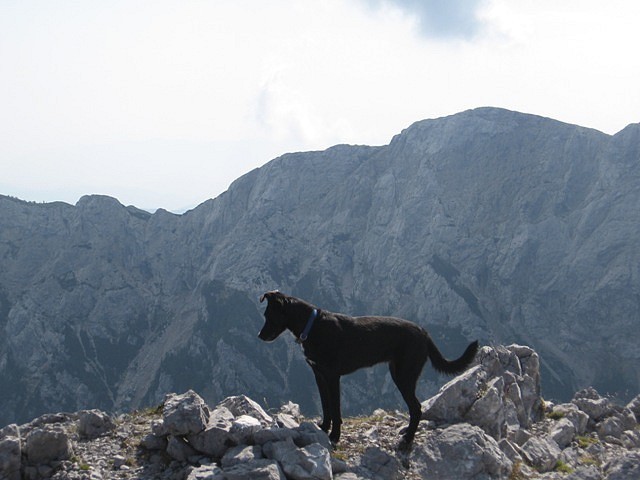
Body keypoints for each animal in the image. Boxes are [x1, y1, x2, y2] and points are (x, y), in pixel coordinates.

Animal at [258, 290, 478, 448]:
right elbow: (326, 406)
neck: (312, 326)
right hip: (398, 373)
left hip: (404, 376)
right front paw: (323, 428)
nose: (259, 336)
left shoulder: (332, 377)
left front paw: (334, 436)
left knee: (416, 408)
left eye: (268, 315)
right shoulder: (319, 375)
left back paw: (407, 440)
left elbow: (336, 410)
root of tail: (424, 333)